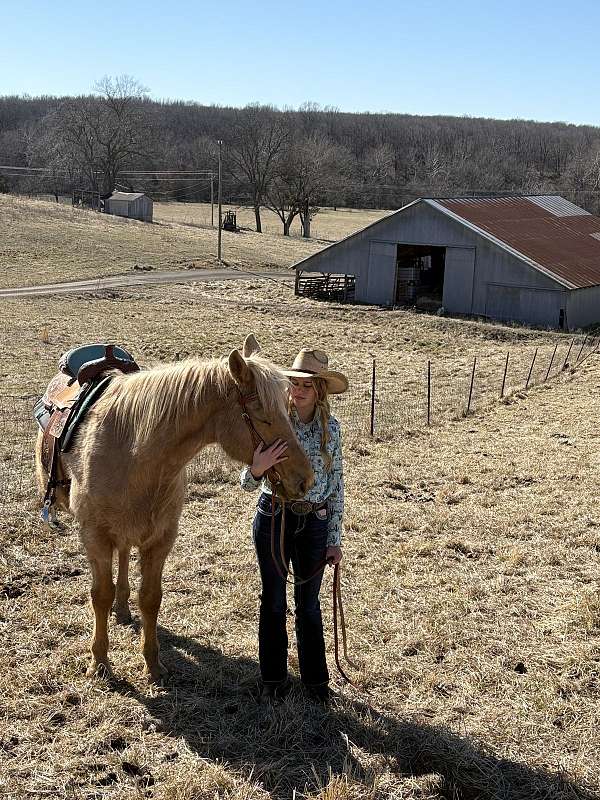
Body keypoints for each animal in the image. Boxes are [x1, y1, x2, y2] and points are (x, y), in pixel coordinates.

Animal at [35, 336, 314, 680]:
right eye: (262, 414)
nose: (305, 479)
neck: (133, 452)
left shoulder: (161, 539)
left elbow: (151, 598)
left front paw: (152, 663)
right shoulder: (95, 537)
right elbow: (99, 595)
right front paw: (99, 662)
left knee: (124, 556)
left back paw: (123, 609)